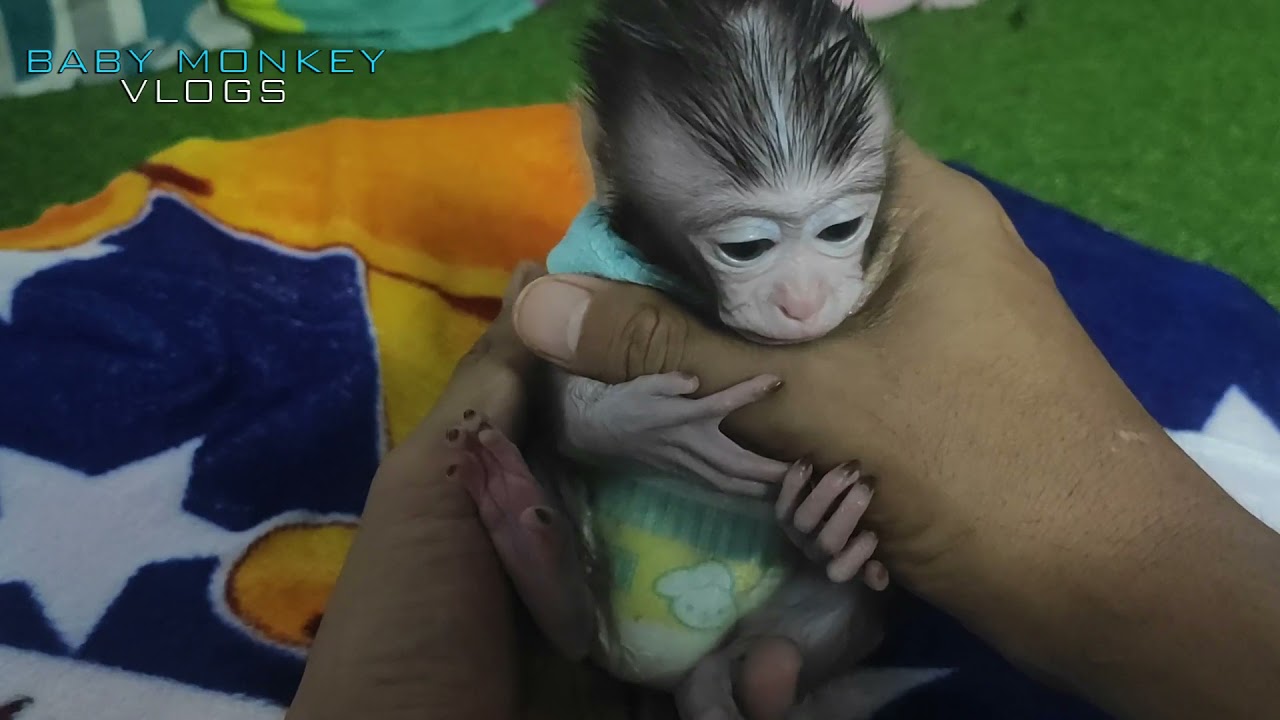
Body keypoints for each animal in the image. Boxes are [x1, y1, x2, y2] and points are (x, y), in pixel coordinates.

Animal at [446, 1, 904, 718]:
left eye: (840, 229)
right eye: (747, 247)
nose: (803, 302)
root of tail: (654, 671)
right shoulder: (580, 270)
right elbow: (561, 396)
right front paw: (650, 427)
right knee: (574, 633)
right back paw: (537, 554)